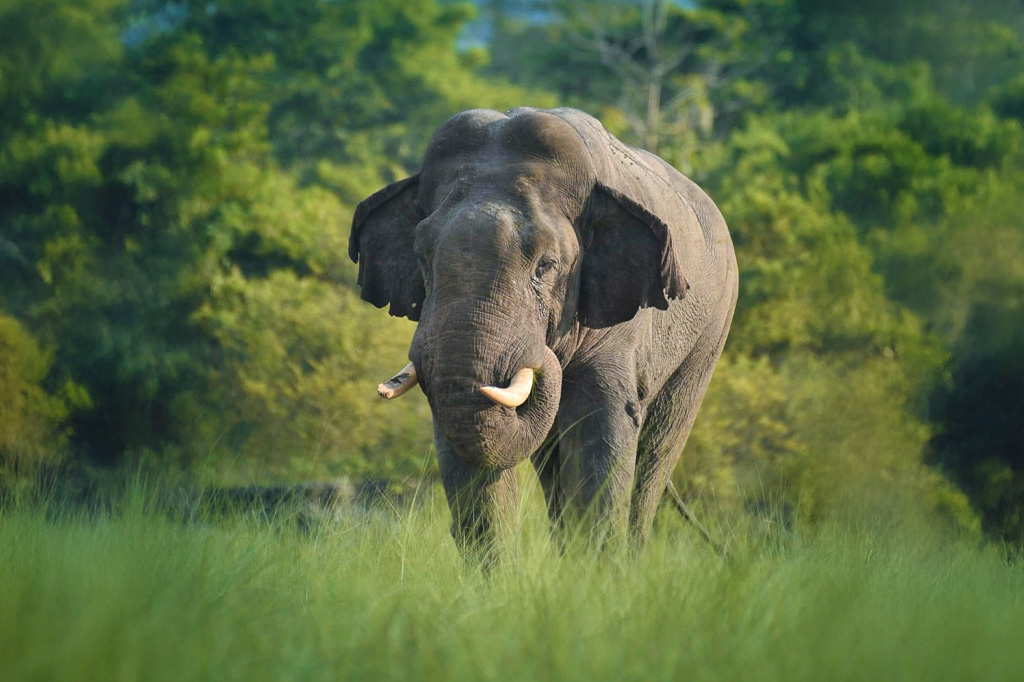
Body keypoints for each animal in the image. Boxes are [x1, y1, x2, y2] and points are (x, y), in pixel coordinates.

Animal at [349, 107, 738, 553]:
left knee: (658, 449)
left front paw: (597, 566)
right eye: (421, 259)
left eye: (546, 266)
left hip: (711, 330)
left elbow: (601, 422)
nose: (544, 355)